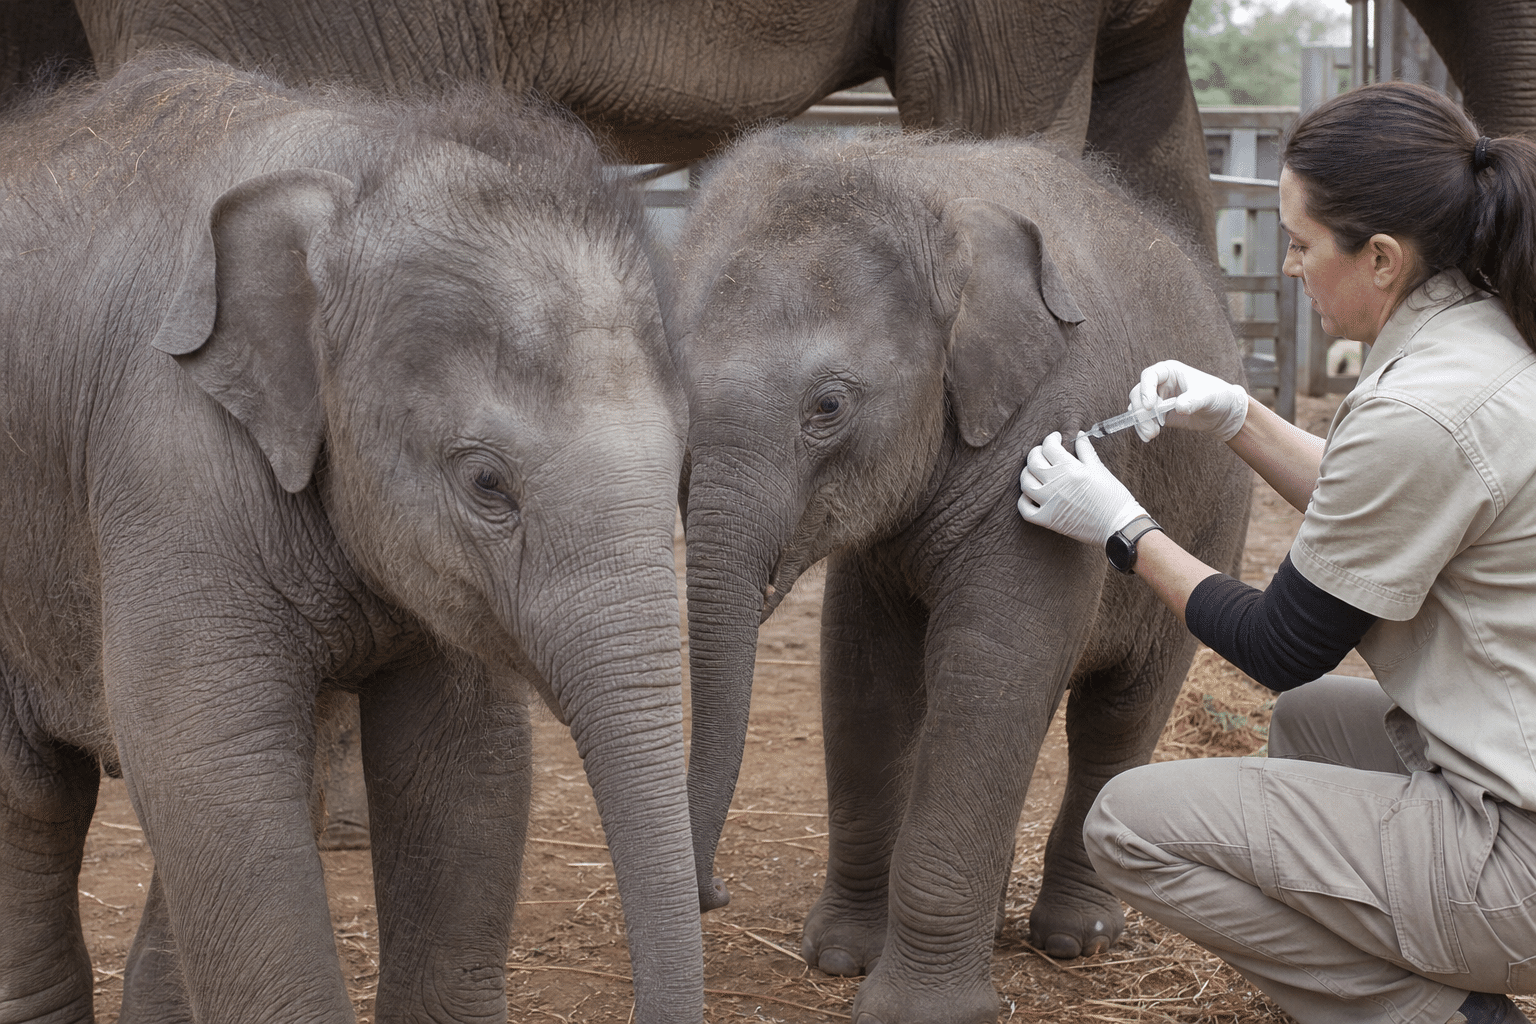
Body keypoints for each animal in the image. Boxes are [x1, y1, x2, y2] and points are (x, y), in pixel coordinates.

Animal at [0, 55, 699, 1024]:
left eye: (686, 468)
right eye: (487, 484)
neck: (363, 155)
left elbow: (466, 770)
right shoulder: (166, 456)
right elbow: (208, 768)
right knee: (32, 803)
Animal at [667, 129, 1251, 1024]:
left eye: (828, 407)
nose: (715, 891)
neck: (911, 181)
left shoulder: (1046, 424)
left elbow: (992, 671)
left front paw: (917, 1012)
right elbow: (865, 682)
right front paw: (840, 957)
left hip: (1219, 519)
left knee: (1119, 717)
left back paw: (1077, 939)